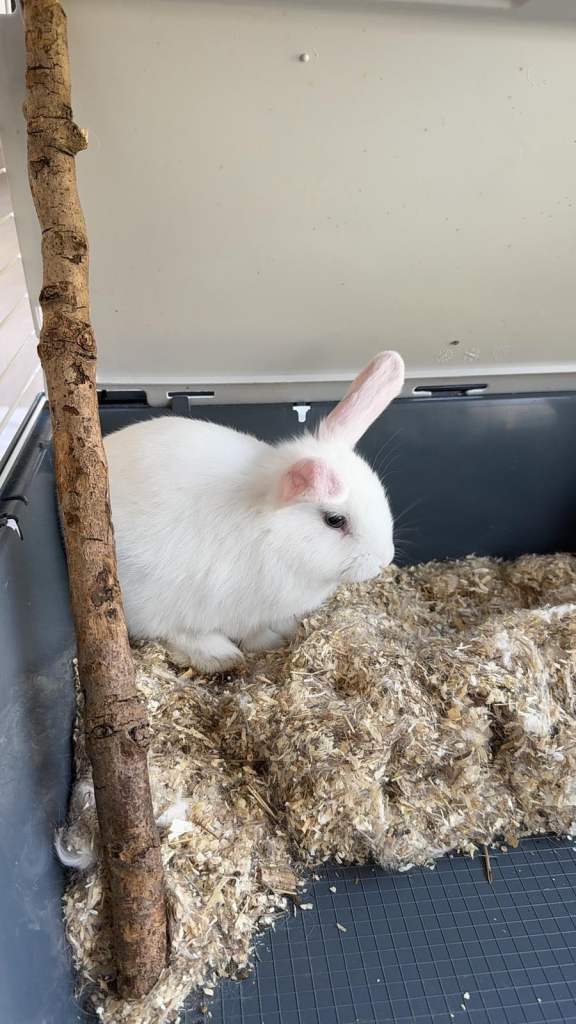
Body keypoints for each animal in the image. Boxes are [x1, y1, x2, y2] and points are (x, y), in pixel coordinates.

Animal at [104, 350, 405, 673]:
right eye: (334, 521)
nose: (384, 560)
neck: (273, 534)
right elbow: (247, 633)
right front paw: (266, 644)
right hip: (148, 597)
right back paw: (219, 655)